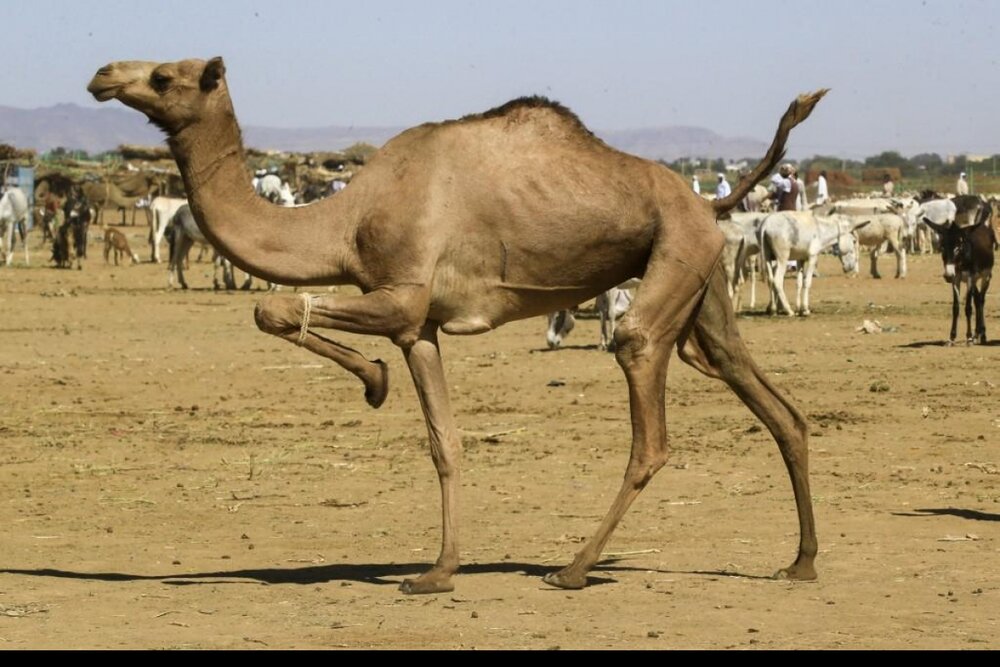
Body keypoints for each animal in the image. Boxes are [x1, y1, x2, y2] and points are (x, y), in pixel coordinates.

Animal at [89, 57, 826, 594]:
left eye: (164, 76)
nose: (102, 75)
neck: (346, 219)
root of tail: (712, 201)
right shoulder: (419, 328)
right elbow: (444, 441)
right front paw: (437, 571)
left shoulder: (402, 295)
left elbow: (271, 305)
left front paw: (373, 383)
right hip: (703, 281)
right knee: (767, 396)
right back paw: (800, 562)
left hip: (673, 266)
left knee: (647, 404)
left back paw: (573, 568)